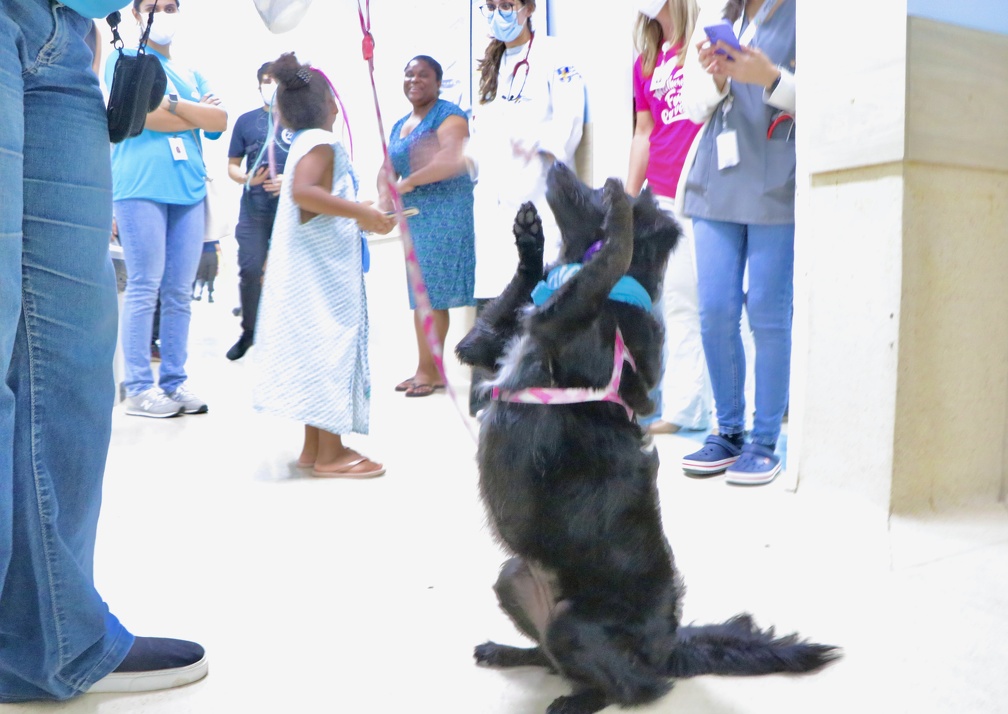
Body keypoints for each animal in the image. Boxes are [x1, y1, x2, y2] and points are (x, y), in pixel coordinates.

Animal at [455, 161, 834, 714]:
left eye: (591, 189)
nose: (558, 163)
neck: (620, 301)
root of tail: (669, 648)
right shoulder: (483, 351)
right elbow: (511, 309)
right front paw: (530, 242)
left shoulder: (565, 319)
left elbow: (604, 265)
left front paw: (618, 222)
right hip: (513, 579)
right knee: (553, 657)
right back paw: (508, 653)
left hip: (573, 624)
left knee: (636, 688)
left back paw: (577, 700)